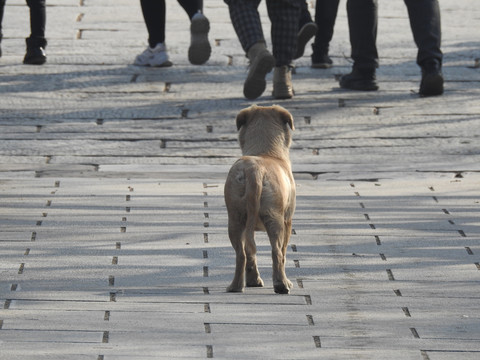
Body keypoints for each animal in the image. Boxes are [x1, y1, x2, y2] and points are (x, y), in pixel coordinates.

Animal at [225, 105, 296, 296]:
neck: (264, 152)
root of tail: (254, 170)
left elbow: (250, 252)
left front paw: (253, 281)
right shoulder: (288, 221)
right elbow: (283, 252)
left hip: (235, 218)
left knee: (242, 253)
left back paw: (236, 286)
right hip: (275, 219)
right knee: (277, 252)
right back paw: (281, 284)